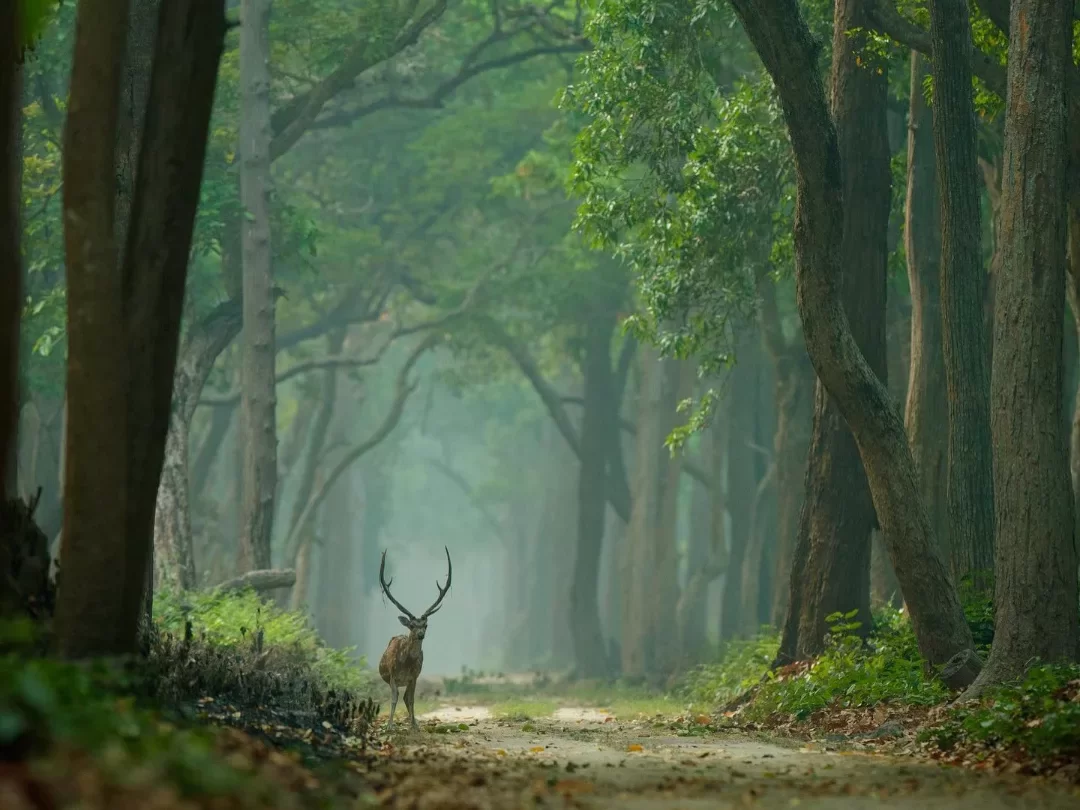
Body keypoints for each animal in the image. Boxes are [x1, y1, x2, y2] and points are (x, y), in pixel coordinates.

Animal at [377, 546, 452, 731]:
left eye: (425, 625)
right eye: (411, 625)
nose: (420, 634)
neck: (406, 663)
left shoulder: (415, 675)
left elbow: (410, 699)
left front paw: (415, 726)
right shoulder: (392, 675)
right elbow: (394, 698)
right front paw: (389, 726)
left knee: (407, 698)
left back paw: (414, 722)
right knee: (399, 697)